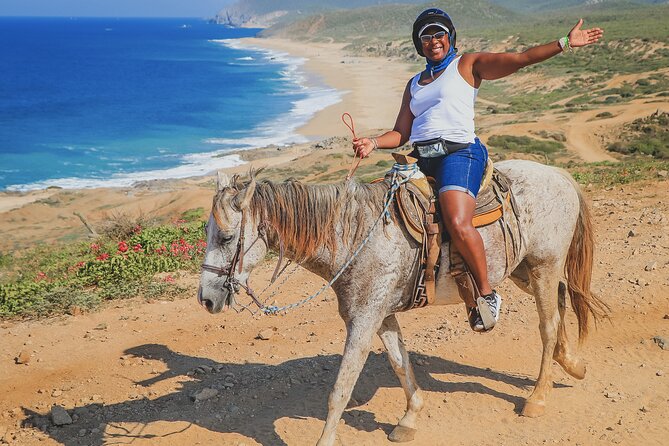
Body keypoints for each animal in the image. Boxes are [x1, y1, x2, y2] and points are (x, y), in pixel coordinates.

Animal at [196, 160, 608, 446]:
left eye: (228, 237)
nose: (206, 299)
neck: (356, 235)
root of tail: (558, 174)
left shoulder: (362, 323)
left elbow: (340, 390)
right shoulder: (379, 316)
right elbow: (400, 363)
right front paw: (409, 419)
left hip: (542, 267)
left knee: (548, 326)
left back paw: (538, 397)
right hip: (524, 271)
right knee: (561, 303)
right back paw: (572, 364)